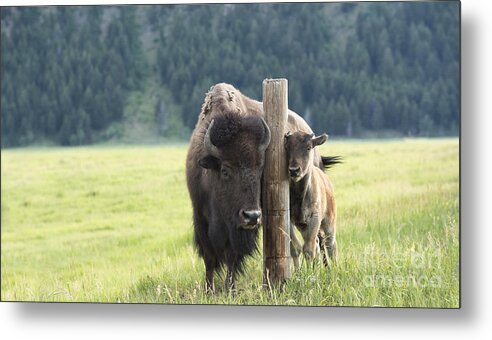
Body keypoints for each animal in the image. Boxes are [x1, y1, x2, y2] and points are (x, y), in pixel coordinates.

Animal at [186, 81, 324, 290]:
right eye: (225, 170)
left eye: (260, 169)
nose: (251, 215)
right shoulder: (200, 217)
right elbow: (209, 258)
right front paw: (209, 289)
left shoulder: (238, 229)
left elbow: (232, 256)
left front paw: (230, 289)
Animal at [284, 130, 342, 268]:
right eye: (287, 147)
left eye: (308, 147)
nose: (294, 170)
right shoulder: (291, 220)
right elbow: (296, 248)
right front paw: (299, 271)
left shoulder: (314, 218)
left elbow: (309, 249)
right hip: (302, 226)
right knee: (318, 243)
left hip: (329, 222)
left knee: (330, 244)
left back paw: (336, 268)